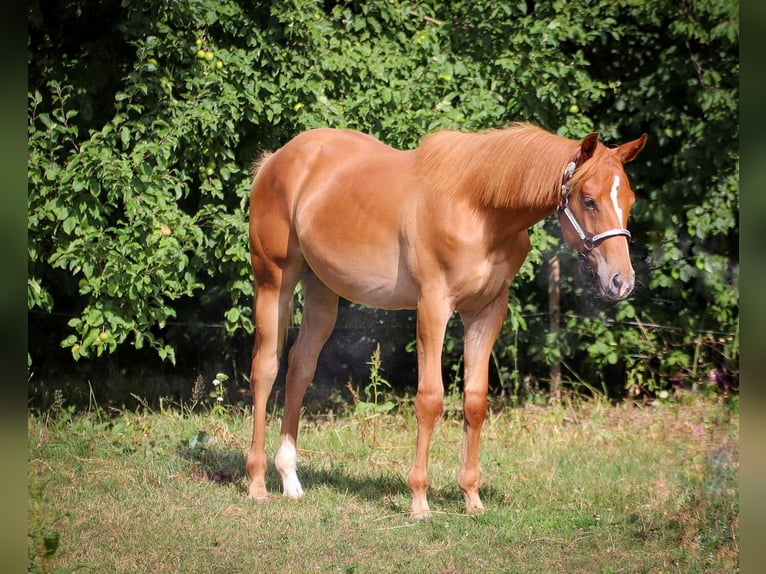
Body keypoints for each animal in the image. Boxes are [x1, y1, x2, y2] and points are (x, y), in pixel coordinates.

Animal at [245, 122, 647, 519]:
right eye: (589, 199)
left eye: (629, 200)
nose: (621, 281)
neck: (479, 211)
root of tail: (275, 161)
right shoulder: (433, 306)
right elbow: (430, 398)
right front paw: (419, 501)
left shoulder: (486, 311)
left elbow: (475, 400)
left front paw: (472, 498)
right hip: (274, 281)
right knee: (265, 369)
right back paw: (257, 484)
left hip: (322, 290)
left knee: (300, 368)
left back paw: (290, 480)